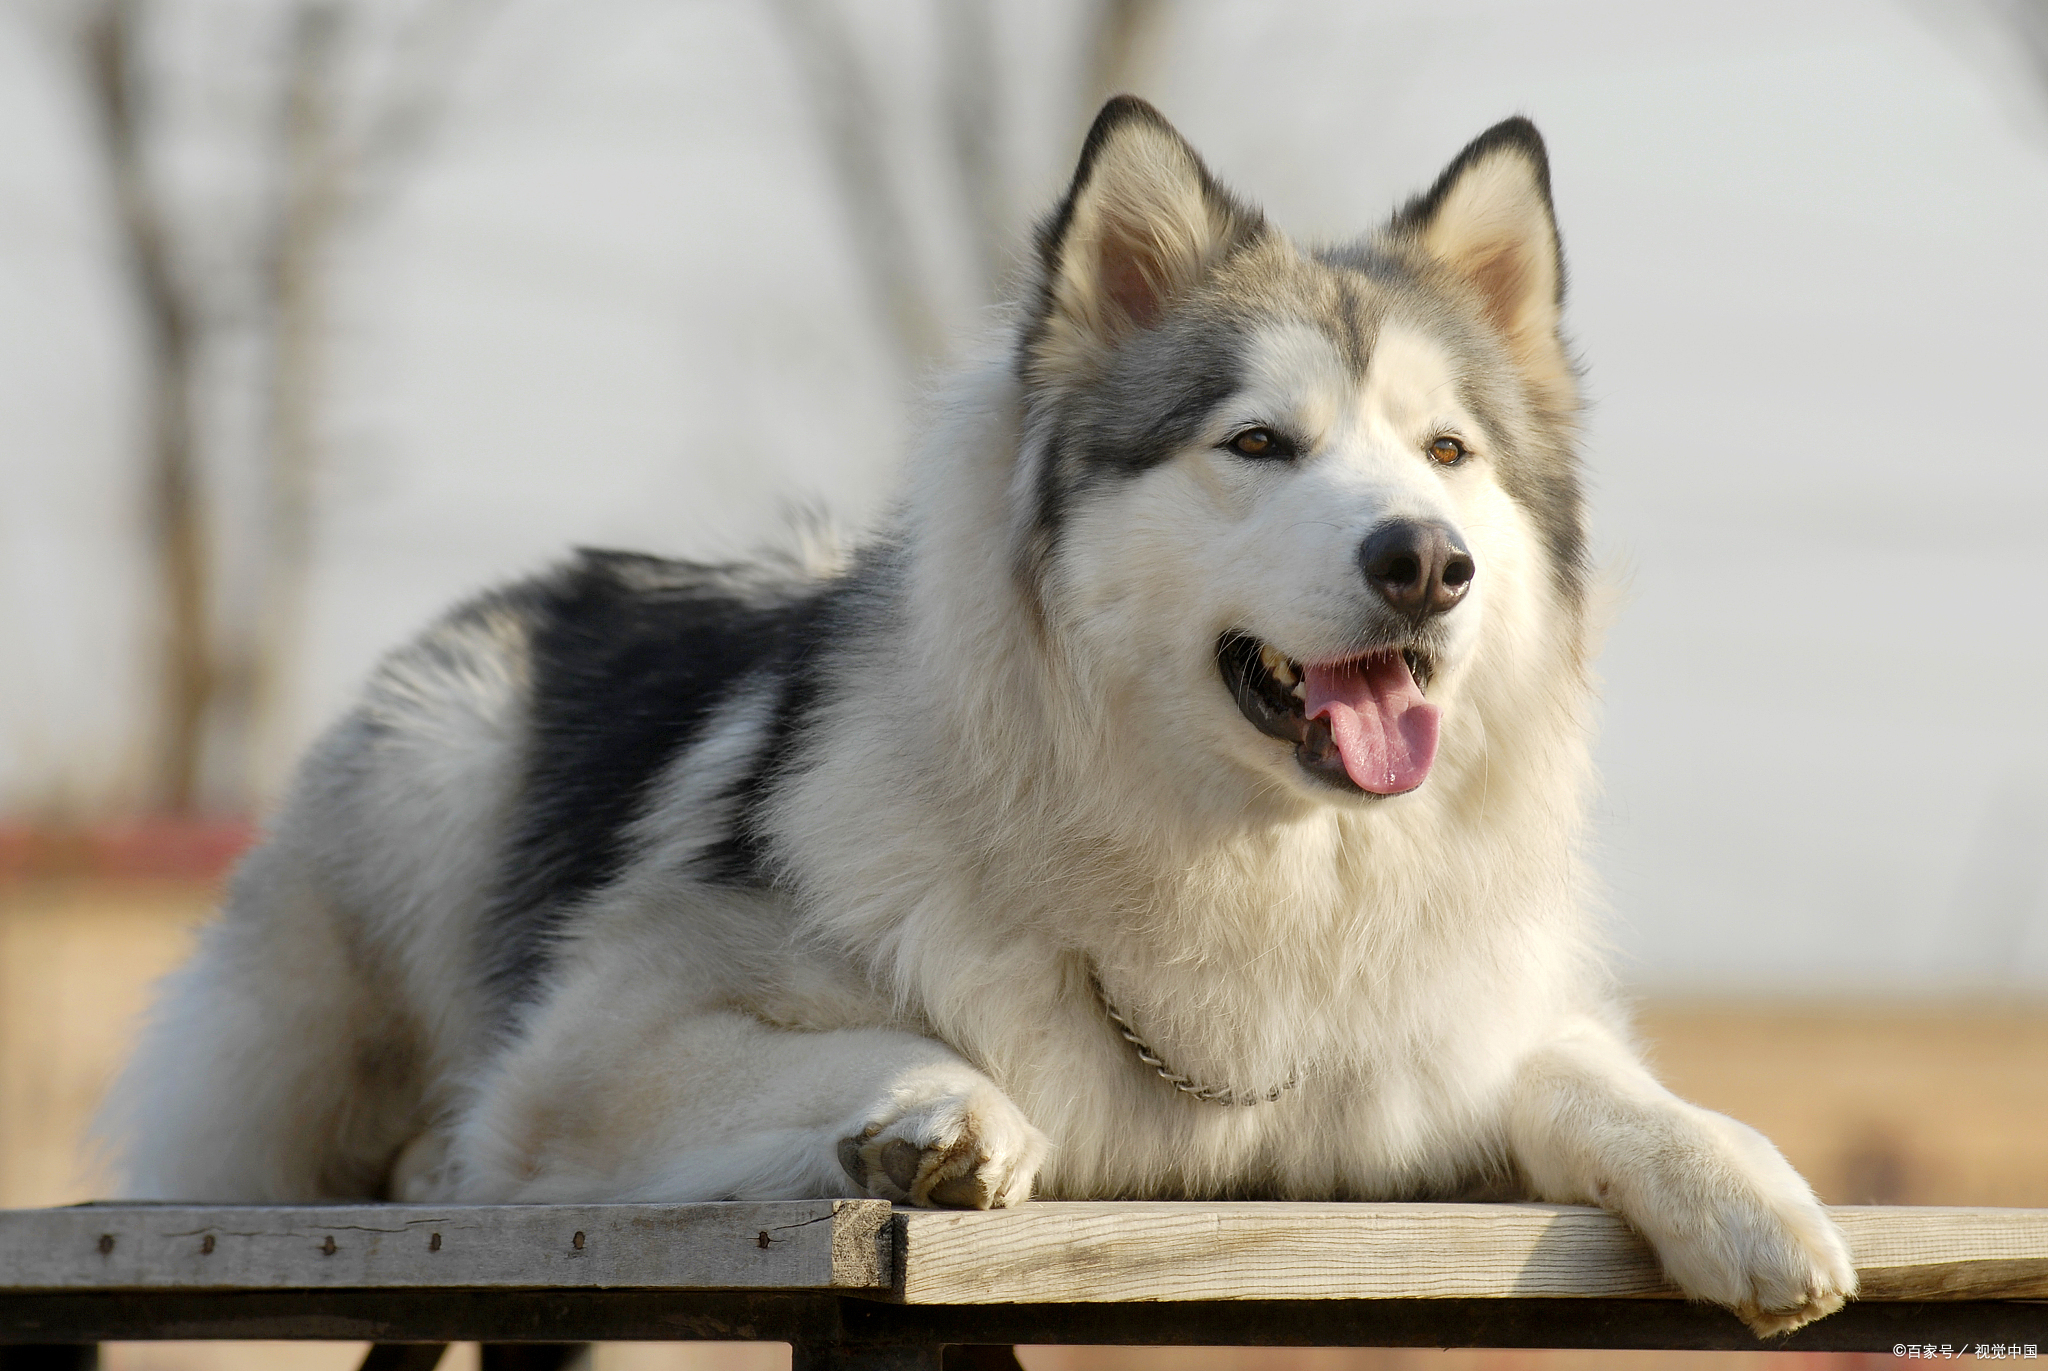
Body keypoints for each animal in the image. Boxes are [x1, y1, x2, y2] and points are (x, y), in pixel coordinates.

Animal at [103, 98, 1851, 1336]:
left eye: (1446, 452)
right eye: (1258, 443)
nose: (1425, 561)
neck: (1246, 862)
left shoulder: (1429, 1068)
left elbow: (1579, 1067)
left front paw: (1742, 1180)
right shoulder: (601, 1043)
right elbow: (902, 1036)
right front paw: (942, 1108)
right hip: (439, 774)